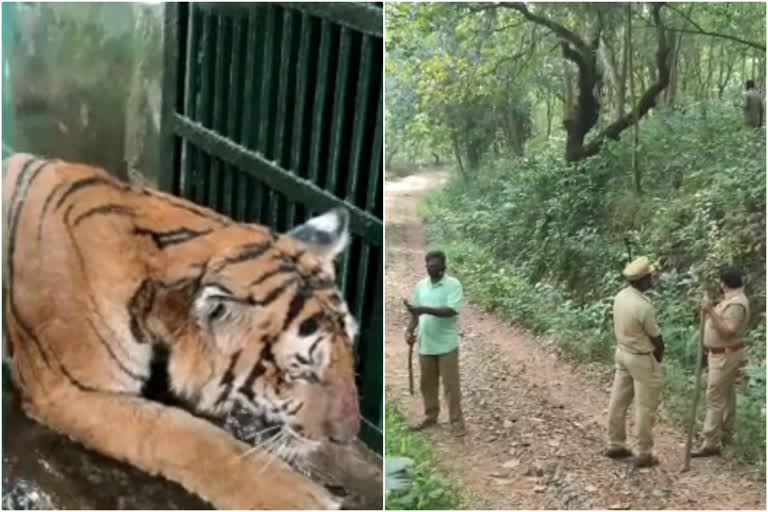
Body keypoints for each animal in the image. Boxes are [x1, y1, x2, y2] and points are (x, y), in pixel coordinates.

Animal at [1, 154, 362, 510]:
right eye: (302, 370)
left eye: (348, 349)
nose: (346, 438)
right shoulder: (67, 391)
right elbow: (182, 432)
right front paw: (299, 494)